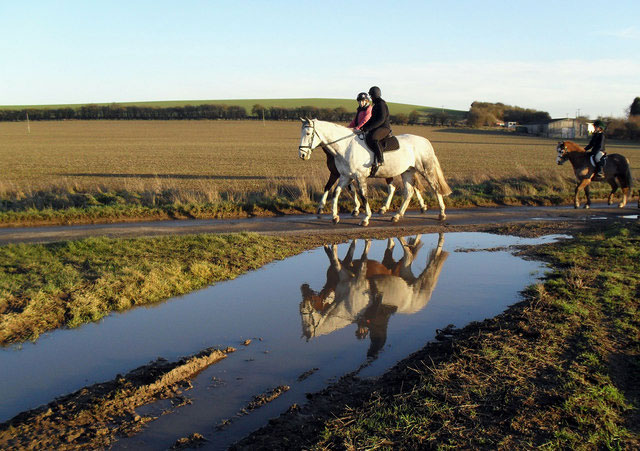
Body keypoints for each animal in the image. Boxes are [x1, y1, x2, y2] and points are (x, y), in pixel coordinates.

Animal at [298, 119, 450, 228]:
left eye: (308, 134)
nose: (302, 155)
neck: (345, 147)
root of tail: (425, 141)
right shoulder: (345, 176)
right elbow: (336, 192)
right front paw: (335, 216)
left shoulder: (359, 177)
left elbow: (363, 195)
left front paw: (365, 218)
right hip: (407, 172)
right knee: (409, 192)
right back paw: (397, 215)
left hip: (426, 170)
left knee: (435, 188)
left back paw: (441, 213)